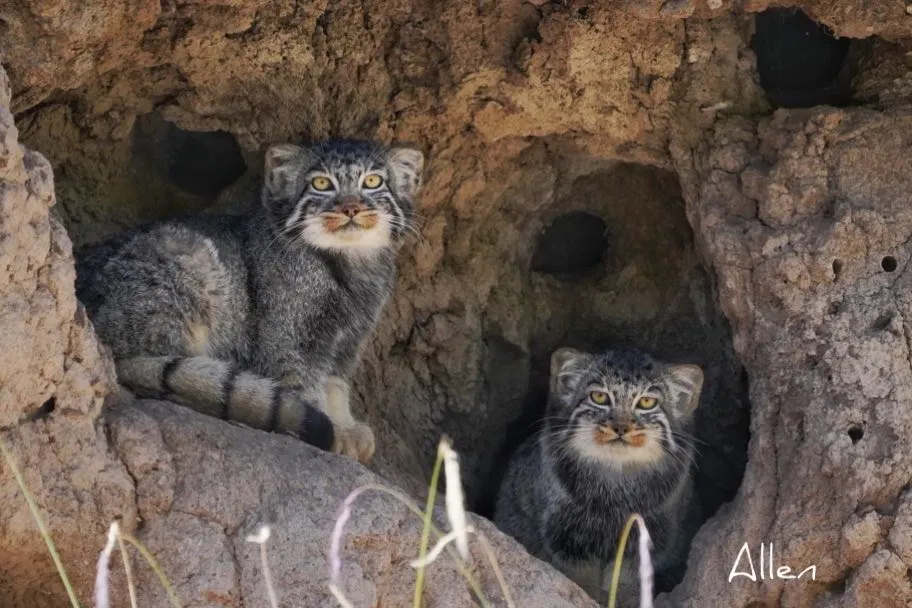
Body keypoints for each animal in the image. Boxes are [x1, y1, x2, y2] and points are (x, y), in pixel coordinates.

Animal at [76, 139, 422, 460]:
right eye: (322, 184)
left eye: (372, 181)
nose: (351, 208)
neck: (349, 265)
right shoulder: (287, 339)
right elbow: (305, 384)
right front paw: (332, 428)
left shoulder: (350, 339)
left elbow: (336, 384)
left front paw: (345, 426)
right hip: (185, 259)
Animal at [496, 346, 700, 604]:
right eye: (599, 397)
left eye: (646, 402)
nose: (621, 427)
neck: (615, 483)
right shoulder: (567, 537)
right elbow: (580, 581)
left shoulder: (648, 537)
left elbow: (627, 581)